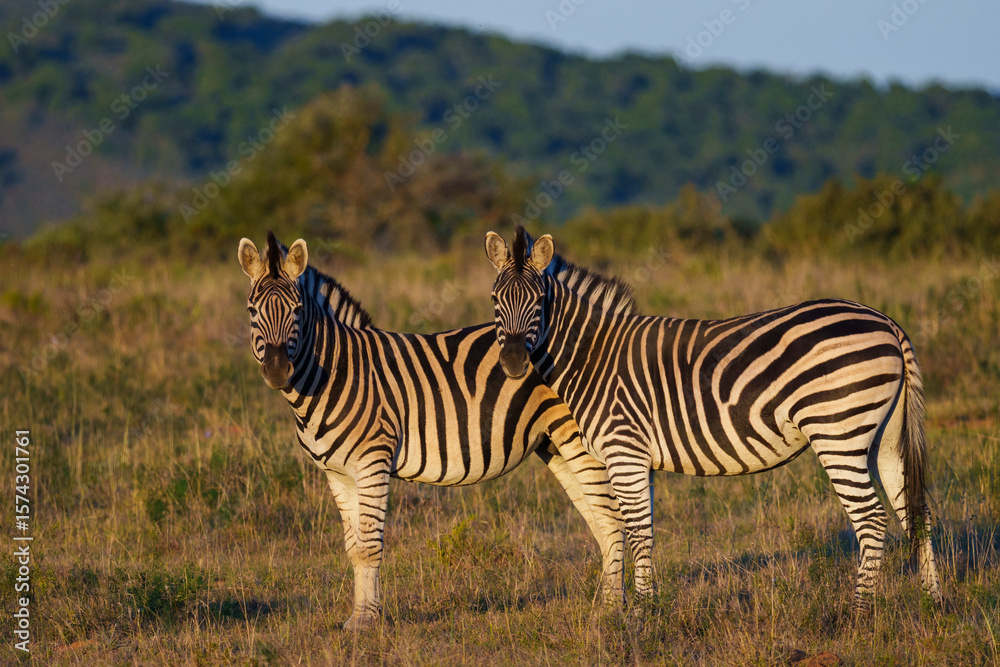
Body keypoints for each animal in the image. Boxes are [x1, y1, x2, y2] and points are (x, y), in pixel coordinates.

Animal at [237, 232, 624, 629]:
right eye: (252, 311)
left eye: (297, 310)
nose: (277, 370)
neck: (336, 375)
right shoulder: (337, 473)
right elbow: (354, 548)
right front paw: (357, 617)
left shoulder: (373, 462)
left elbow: (370, 545)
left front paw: (368, 621)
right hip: (556, 444)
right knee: (600, 521)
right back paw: (607, 605)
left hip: (580, 441)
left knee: (612, 521)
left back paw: (613, 611)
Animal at [483, 226, 942, 613]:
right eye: (494, 301)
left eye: (538, 302)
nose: (513, 362)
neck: (593, 355)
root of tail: (887, 323)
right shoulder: (639, 460)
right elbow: (645, 531)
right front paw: (651, 607)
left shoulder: (625, 451)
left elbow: (636, 531)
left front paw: (643, 617)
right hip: (884, 436)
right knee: (915, 511)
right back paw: (933, 604)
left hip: (838, 432)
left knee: (872, 519)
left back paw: (859, 613)